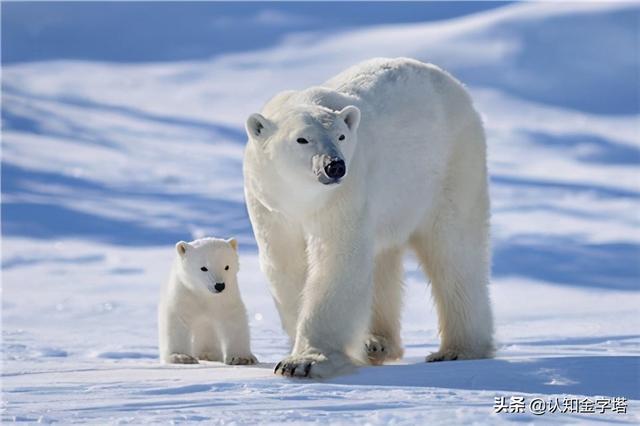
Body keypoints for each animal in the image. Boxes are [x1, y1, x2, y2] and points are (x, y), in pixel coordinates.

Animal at [245, 57, 496, 380]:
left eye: (341, 136)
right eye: (302, 139)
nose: (334, 166)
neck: (302, 197)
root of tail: (453, 83)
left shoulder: (344, 195)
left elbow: (337, 259)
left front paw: (305, 362)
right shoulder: (271, 206)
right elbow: (286, 264)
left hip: (451, 166)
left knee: (454, 251)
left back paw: (458, 350)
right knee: (382, 261)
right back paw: (376, 343)